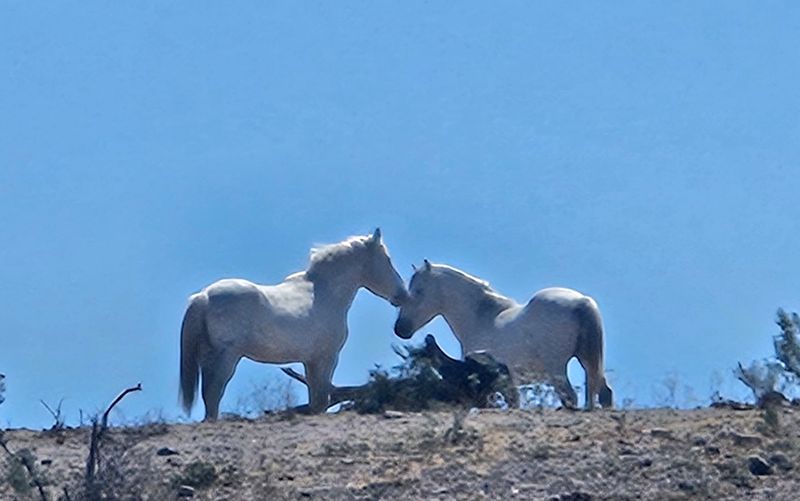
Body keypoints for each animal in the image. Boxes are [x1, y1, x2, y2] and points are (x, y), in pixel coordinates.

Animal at [179, 228, 408, 420]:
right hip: (227, 356)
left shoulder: (309, 361)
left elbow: (316, 400)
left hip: (208, 356)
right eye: (387, 260)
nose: (402, 295)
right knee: (214, 391)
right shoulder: (326, 358)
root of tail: (204, 296)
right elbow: (321, 398)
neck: (324, 292)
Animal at [393, 260, 612, 410]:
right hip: (588, 360)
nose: (400, 329)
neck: (482, 318)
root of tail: (582, 301)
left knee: (570, 398)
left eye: (419, 291)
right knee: (604, 394)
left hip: (556, 368)